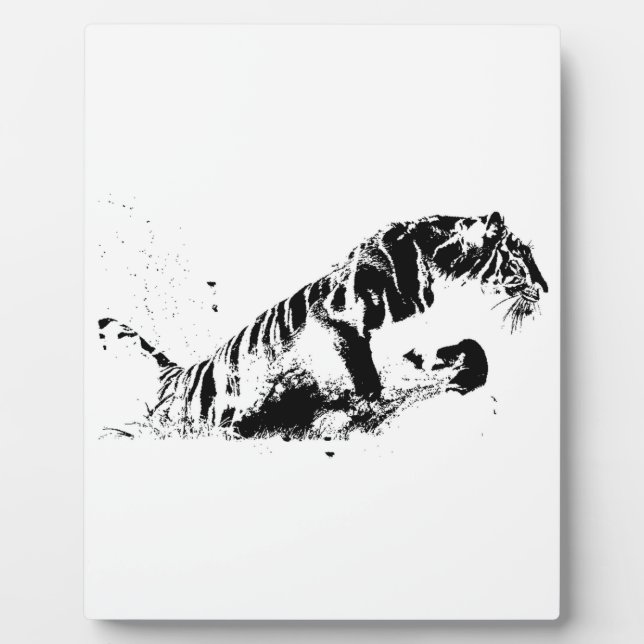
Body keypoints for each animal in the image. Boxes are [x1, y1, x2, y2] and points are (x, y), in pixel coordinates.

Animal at [98, 211, 548, 438]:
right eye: (521, 256)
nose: (545, 287)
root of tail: (174, 375)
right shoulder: (338, 320)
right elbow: (362, 372)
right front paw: (361, 407)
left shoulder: (418, 342)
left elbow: (472, 350)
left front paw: (465, 375)